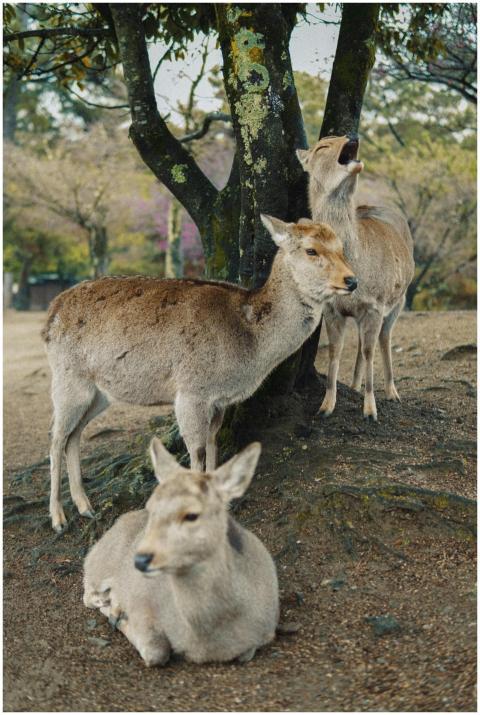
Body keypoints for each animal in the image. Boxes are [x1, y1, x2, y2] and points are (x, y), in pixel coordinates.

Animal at [42, 215, 357, 532]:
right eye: (311, 250)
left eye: (342, 247)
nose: (352, 280)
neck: (249, 348)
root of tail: (50, 315)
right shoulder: (191, 391)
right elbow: (197, 450)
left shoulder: (218, 400)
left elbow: (213, 443)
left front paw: (223, 504)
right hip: (68, 378)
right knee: (55, 437)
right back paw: (58, 518)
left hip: (98, 393)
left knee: (73, 435)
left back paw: (85, 507)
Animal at [84, 438, 279, 666]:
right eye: (151, 507)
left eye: (191, 514)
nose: (141, 560)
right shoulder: (140, 601)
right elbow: (156, 652)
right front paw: (119, 617)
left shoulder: (266, 633)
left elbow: (247, 654)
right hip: (99, 564)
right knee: (87, 593)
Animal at [297, 136, 414, 422]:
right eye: (321, 147)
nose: (353, 135)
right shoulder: (332, 308)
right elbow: (335, 351)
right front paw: (325, 407)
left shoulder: (375, 304)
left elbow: (370, 351)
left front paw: (370, 411)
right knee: (363, 342)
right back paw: (353, 385)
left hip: (400, 299)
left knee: (384, 339)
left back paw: (392, 392)